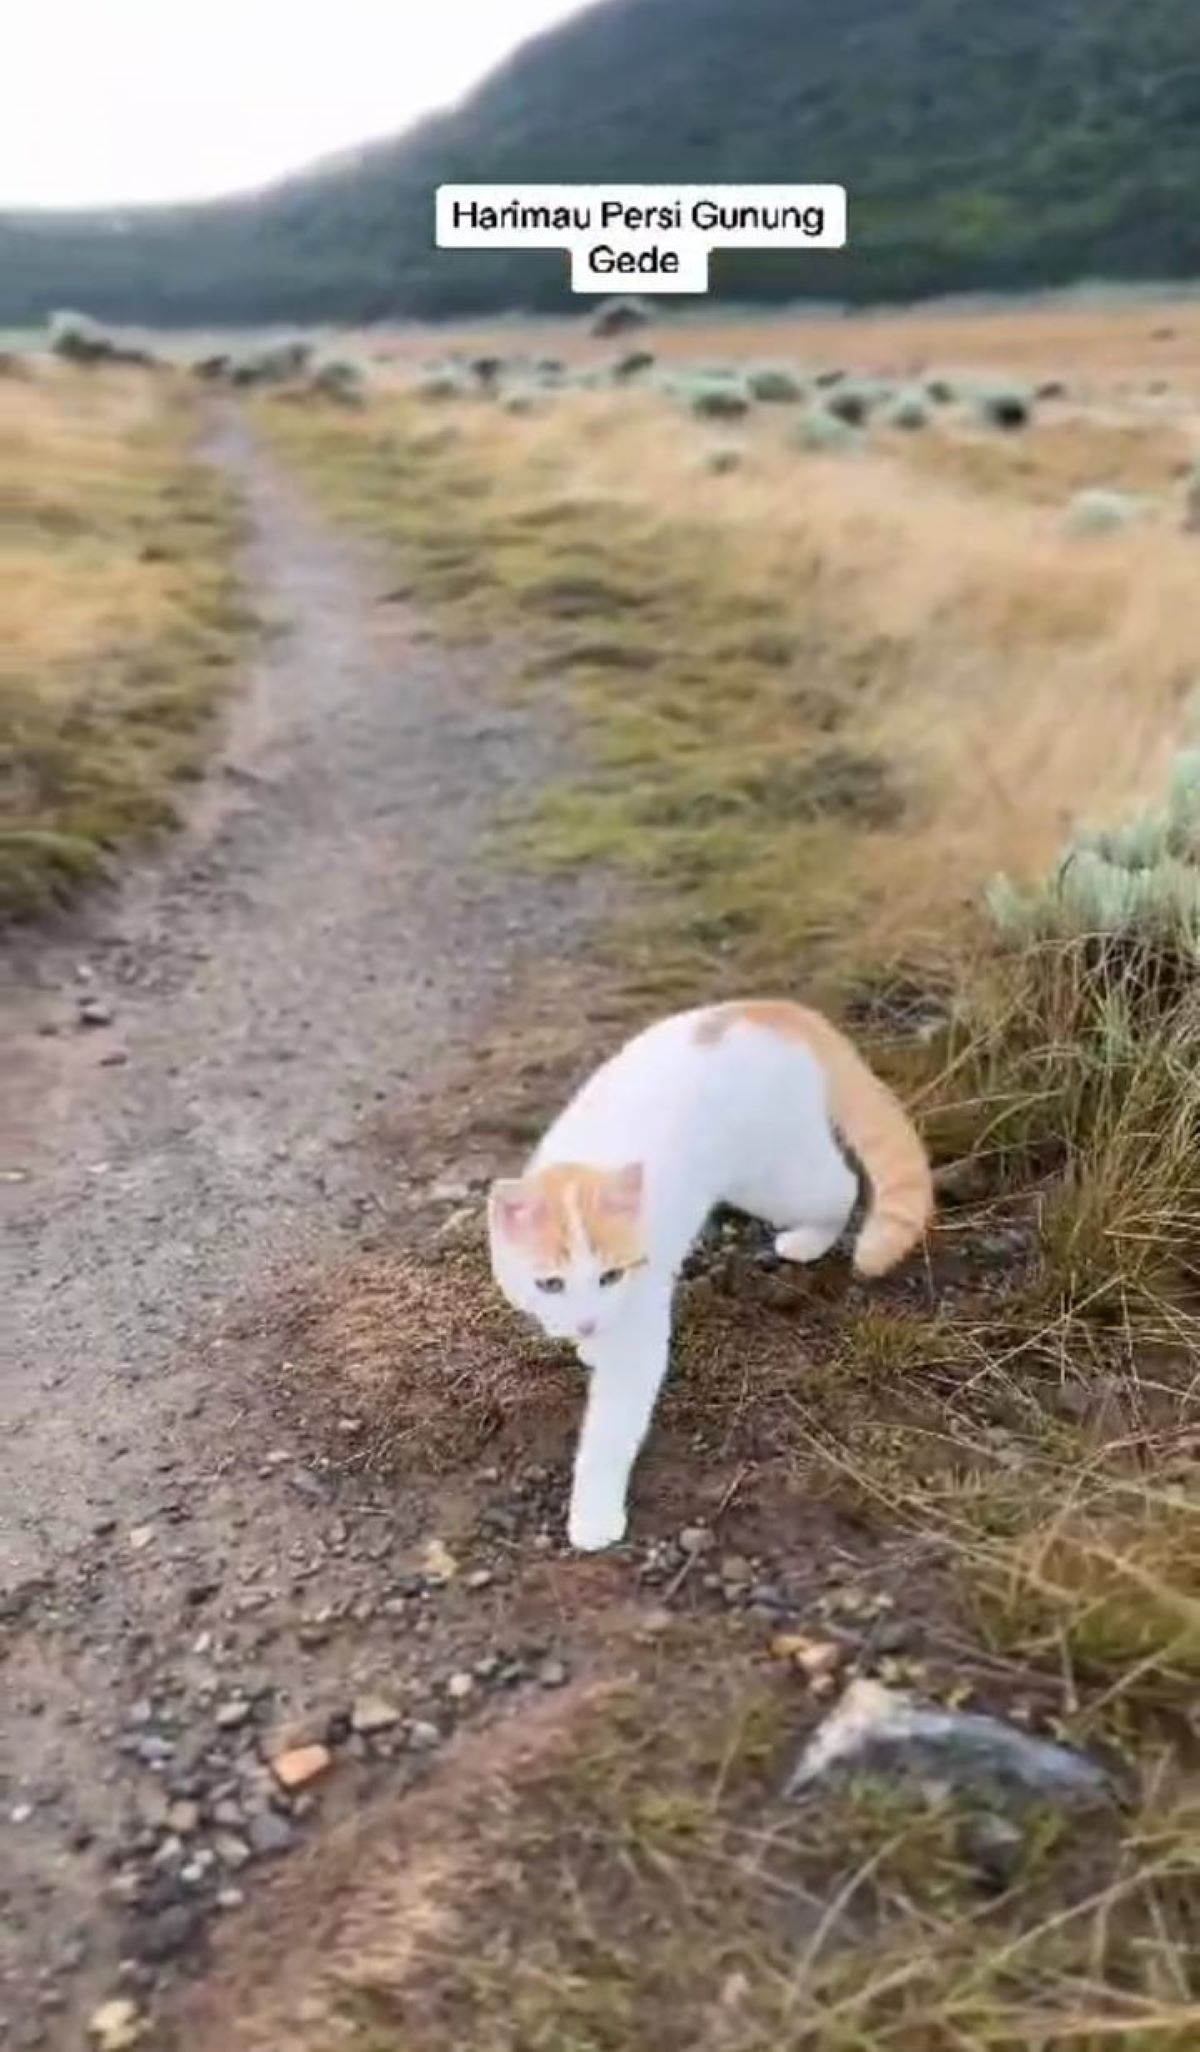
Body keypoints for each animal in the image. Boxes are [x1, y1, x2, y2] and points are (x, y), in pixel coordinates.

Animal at [482, 997, 931, 1551]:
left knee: (841, 1185)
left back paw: (810, 1241)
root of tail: (771, 1008)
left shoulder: (639, 1321)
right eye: (550, 1284)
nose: (587, 1323)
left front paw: (594, 1513)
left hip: (774, 1175)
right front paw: (587, 1344)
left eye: (610, 1277)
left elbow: (612, 1426)